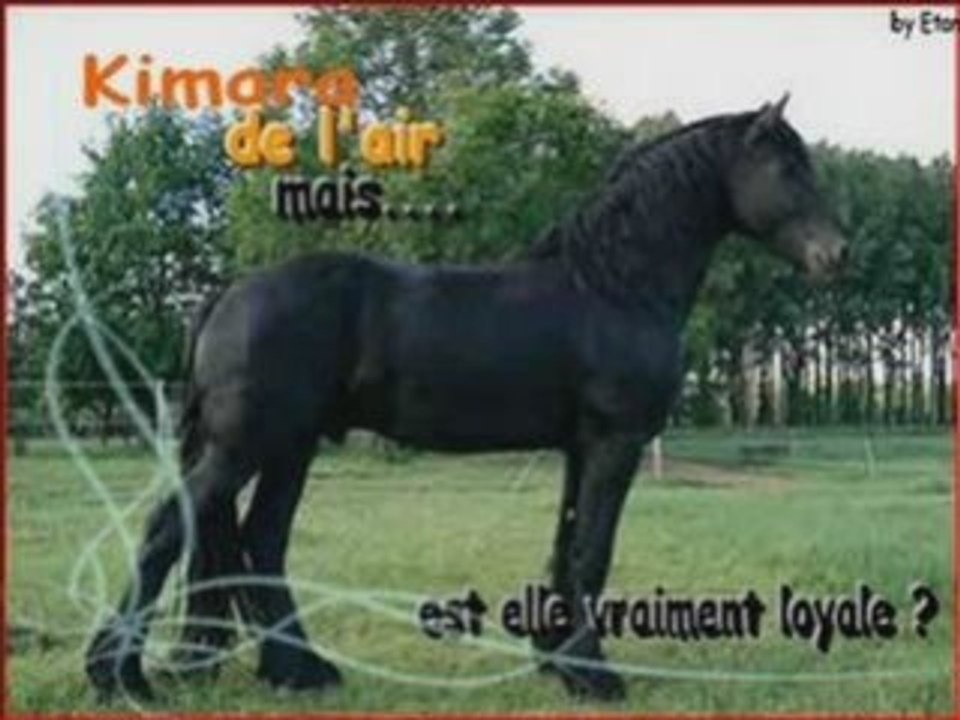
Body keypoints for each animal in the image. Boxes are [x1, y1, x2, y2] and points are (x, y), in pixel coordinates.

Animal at [85, 94, 847, 702]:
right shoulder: (615, 441)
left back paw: (299, 671)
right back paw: (121, 676)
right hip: (245, 444)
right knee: (169, 530)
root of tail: (230, 291)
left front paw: (557, 663)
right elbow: (592, 551)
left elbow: (567, 546)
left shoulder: (580, 448)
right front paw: (594, 676)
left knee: (260, 542)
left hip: (288, 447)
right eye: (788, 168)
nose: (836, 255)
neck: (613, 284)